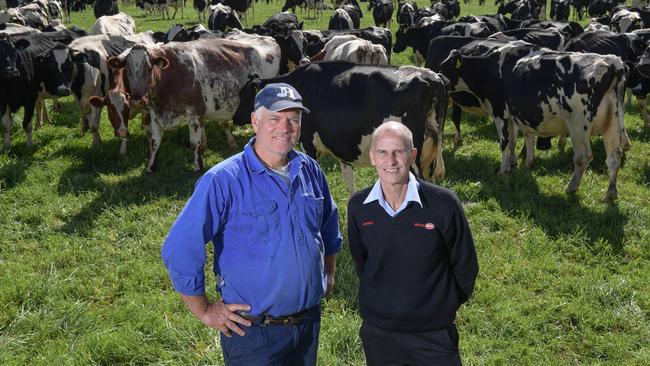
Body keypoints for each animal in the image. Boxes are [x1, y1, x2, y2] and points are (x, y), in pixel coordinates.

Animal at [104, 36, 278, 171]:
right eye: (127, 70)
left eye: (149, 68)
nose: (137, 99)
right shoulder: (155, 114)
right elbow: (154, 142)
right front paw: (150, 167)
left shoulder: (194, 113)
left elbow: (194, 143)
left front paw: (197, 166)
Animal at [230, 62, 448, 194]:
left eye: (244, 95)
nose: (235, 118)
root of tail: (429, 76)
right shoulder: (343, 148)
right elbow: (349, 181)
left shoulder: (308, 144)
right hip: (429, 150)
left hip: (413, 157)